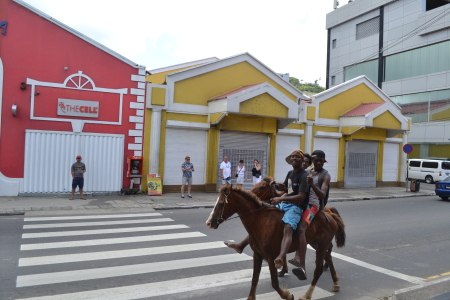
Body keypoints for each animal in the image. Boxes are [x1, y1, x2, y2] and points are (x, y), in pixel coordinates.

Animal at [206, 184, 346, 298]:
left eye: (221, 204)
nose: (209, 223)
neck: (261, 221)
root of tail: (329, 215)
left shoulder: (271, 257)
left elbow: (274, 283)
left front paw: (287, 295)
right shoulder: (257, 255)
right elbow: (254, 279)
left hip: (321, 245)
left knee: (318, 270)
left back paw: (306, 294)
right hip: (316, 243)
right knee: (328, 257)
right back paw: (335, 283)